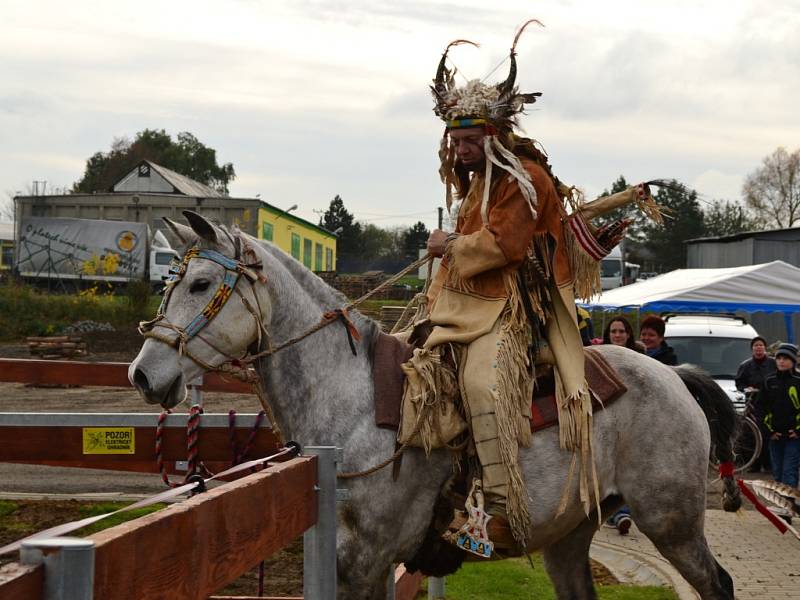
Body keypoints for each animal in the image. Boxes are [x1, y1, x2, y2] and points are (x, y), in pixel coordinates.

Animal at [130, 212, 736, 600]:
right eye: (168, 283)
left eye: (201, 283)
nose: (143, 374)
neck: (352, 404)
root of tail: (675, 377)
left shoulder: (364, 560)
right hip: (571, 534)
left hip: (672, 522)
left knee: (718, 583)